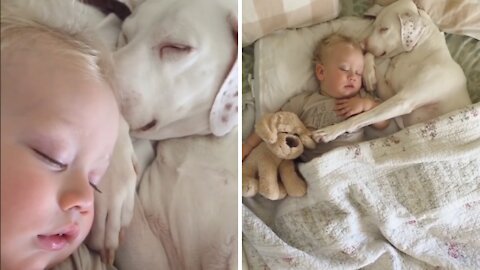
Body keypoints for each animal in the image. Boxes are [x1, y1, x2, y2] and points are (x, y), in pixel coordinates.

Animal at [312, 0, 472, 143]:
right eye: (374, 26)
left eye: (384, 29)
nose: (361, 45)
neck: (419, 52)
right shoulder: (389, 92)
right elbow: (371, 56)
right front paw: (368, 74)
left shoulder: (401, 101)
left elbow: (361, 118)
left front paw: (331, 131)